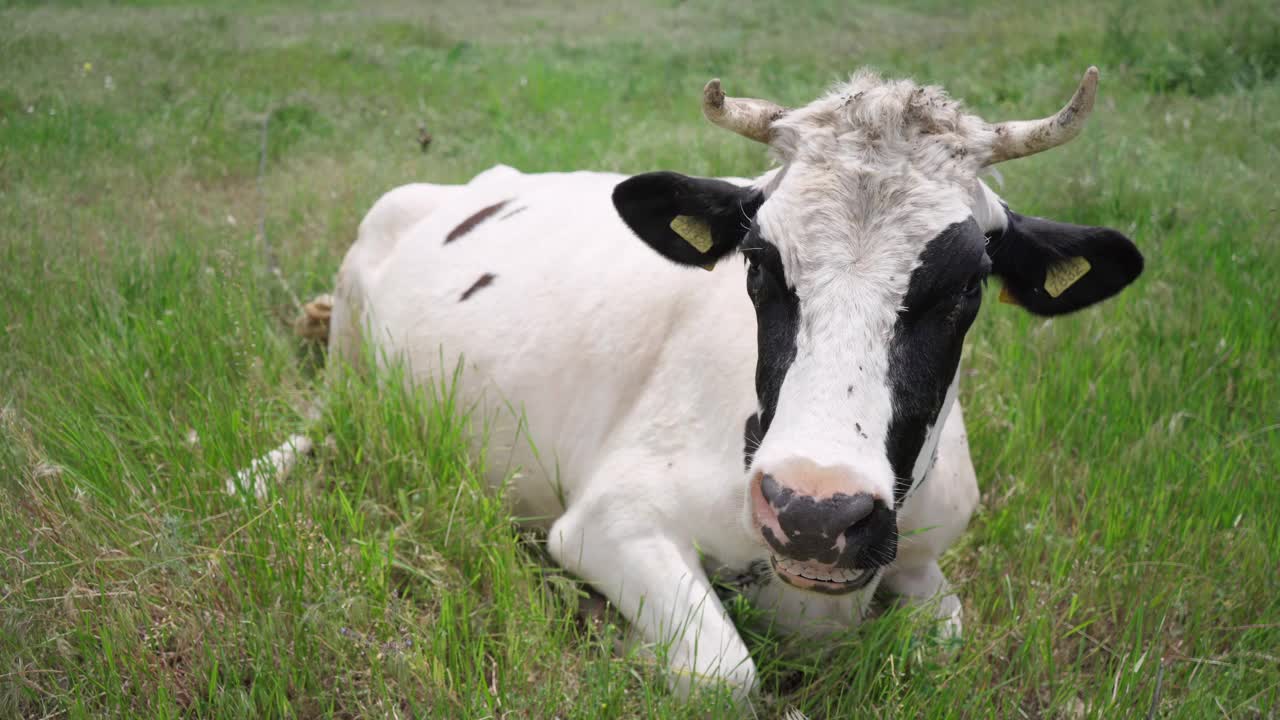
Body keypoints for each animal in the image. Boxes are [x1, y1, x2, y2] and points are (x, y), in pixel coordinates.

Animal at [235, 68, 1146, 702]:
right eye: (759, 261)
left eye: (966, 286)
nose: (815, 513)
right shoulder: (608, 521)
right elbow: (723, 674)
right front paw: (618, 638)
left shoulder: (924, 558)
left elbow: (944, 647)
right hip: (352, 348)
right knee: (320, 427)